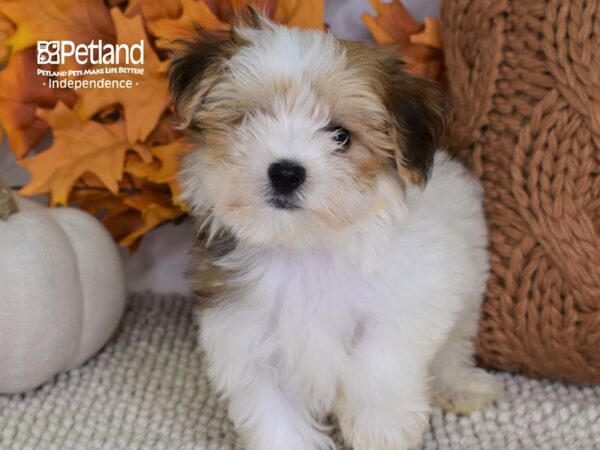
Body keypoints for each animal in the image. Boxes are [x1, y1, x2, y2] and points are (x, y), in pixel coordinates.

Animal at [168, 10, 496, 450]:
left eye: (341, 136)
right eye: (248, 120)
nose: (286, 173)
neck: (305, 248)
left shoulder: (411, 299)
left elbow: (380, 363)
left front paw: (381, 427)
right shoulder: (246, 343)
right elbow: (277, 420)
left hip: (469, 280)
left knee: (453, 347)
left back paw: (459, 386)